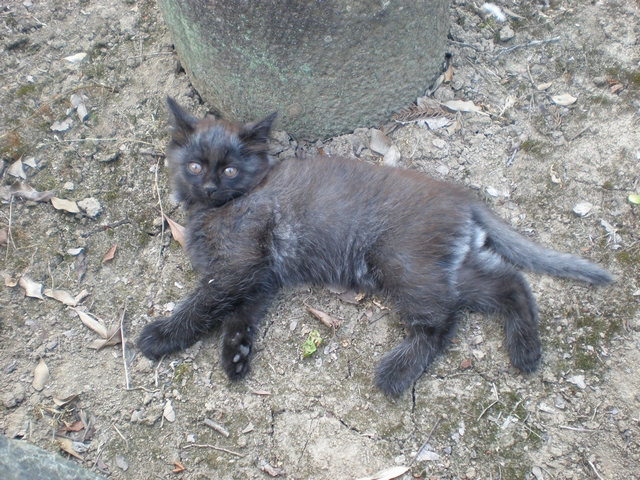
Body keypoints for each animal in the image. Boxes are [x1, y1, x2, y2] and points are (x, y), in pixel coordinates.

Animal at [137, 97, 612, 396]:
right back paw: (526, 351)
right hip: (444, 266)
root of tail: (463, 197)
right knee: (510, 282)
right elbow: (240, 313)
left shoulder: (236, 266)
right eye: (195, 166)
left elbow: (201, 302)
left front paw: (161, 335)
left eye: (230, 170)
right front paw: (236, 354)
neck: (225, 205)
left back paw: (396, 374)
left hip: (401, 264)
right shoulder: (258, 275)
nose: (211, 186)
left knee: (443, 321)